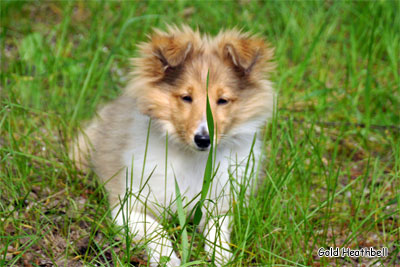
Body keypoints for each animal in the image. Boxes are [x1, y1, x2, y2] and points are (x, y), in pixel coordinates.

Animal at [72, 24, 274, 266]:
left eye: (223, 100)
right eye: (186, 97)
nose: (203, 139)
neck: (194, 159)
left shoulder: (223, 203)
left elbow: (217, 228)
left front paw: (222, 255)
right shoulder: (127, 207)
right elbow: (156, 229)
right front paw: (168, 259)